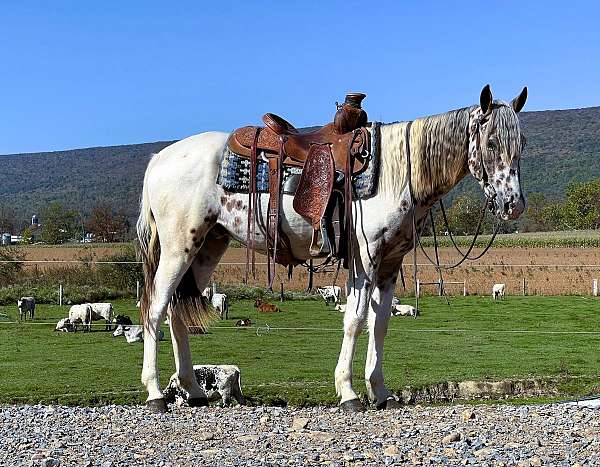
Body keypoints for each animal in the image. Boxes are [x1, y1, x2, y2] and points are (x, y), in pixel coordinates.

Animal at [138, 85, 528, 414]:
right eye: (492, 142)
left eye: (521, 142)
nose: (513, 205)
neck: (397, 170)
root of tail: (159, 158)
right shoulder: (366, 257)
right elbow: (354, 320)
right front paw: (349, 393)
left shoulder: (390, 262)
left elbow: (380, 324)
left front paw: (381, 393)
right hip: (178, 247)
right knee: (156, 308)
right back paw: (156, 393)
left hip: (208, 246)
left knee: (176, 313)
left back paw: (193, 391)